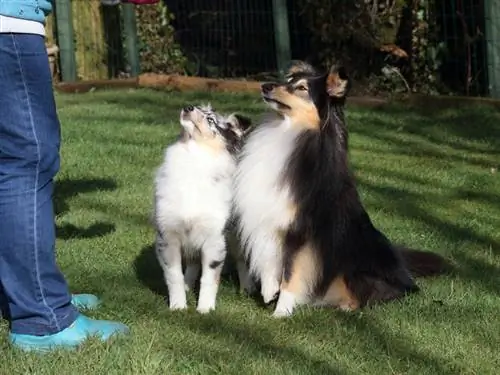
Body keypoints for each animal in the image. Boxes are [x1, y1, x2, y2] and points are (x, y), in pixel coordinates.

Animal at [153, 103, 254, 314]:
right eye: (198, 107)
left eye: (211, 120)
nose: (188, 107)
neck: (193, 159)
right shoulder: (168, 236)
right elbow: (174, 275)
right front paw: (178, 306)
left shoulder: (214, 239)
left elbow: (209, 278)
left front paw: (205, 309)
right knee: (192, 263)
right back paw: (187, 285)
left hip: (236, 234)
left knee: (242, 260)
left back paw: (247, 288)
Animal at [234, 61, 450, 318]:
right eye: (288, 81)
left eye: (302, 88)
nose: (265, 86)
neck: (287, 131)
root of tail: (403, 269)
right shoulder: (270, 217)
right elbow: (268, 257)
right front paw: (269, 291)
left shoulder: (303, 232)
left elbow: (291, 272)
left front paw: (281, 312)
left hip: (355, 270)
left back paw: (345, 306)